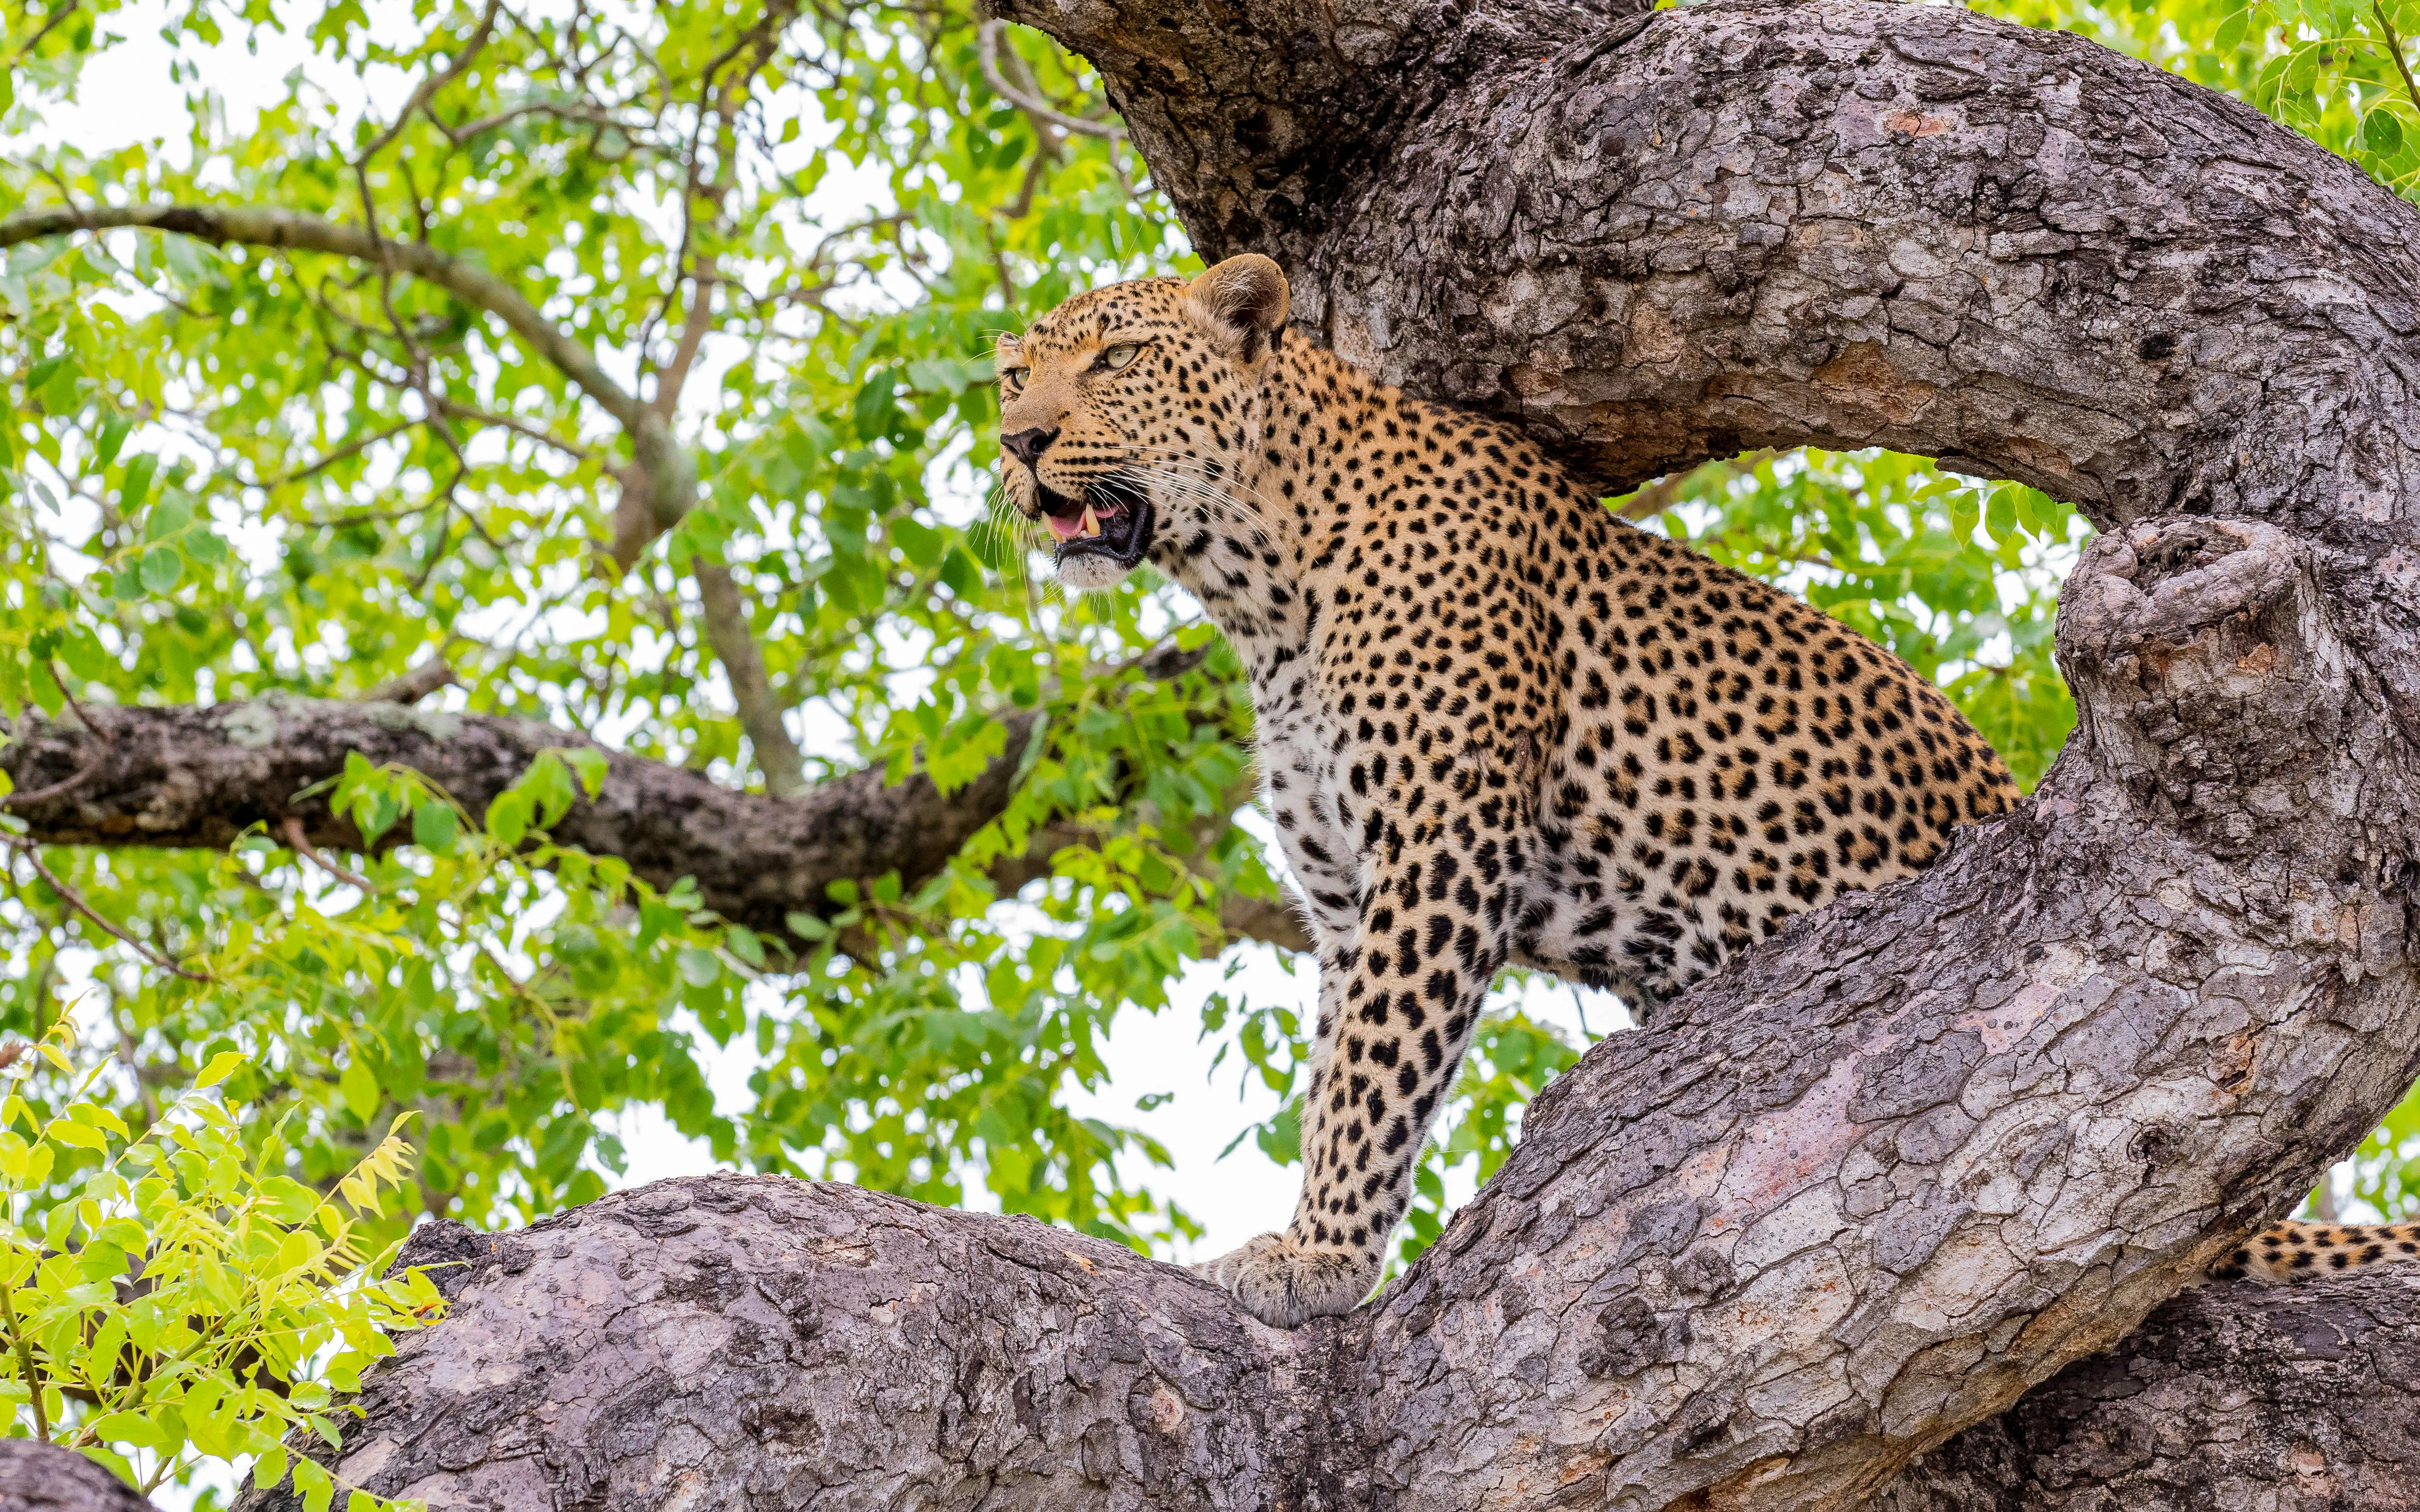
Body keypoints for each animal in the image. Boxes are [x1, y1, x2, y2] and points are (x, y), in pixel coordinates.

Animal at [993, 252, 2411, 1326]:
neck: (1259, 585)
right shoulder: (1348, 895)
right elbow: (1345, 1069)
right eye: (1015, 373)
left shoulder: (1437, 848)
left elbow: (1372, 1078)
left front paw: (1314, 1262)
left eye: (1114, 358)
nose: (1016, 440)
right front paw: (1318, 1243)